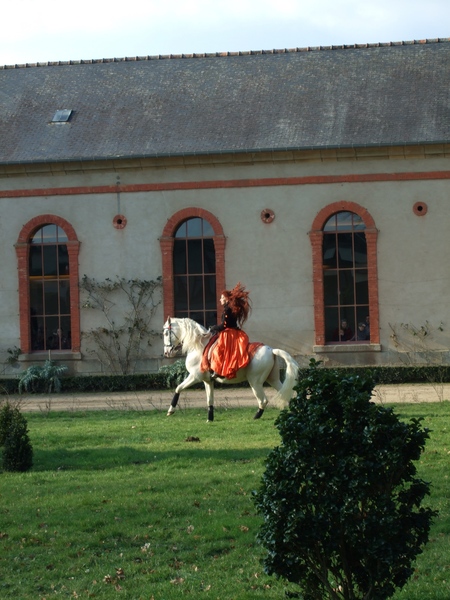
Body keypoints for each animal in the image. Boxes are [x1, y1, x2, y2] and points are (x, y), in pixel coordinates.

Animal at [162, 316, 298, 420]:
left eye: (166, 333)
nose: (166, 353)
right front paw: (210, 419)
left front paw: (170, 410)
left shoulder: (195, 377)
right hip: (272, 379)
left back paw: (256, 417)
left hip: (255, 382)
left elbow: (178, 388)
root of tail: (271, 350)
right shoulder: (207, 381)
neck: (199, 347)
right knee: (287, 394)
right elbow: (209, 400)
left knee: (263, 400)